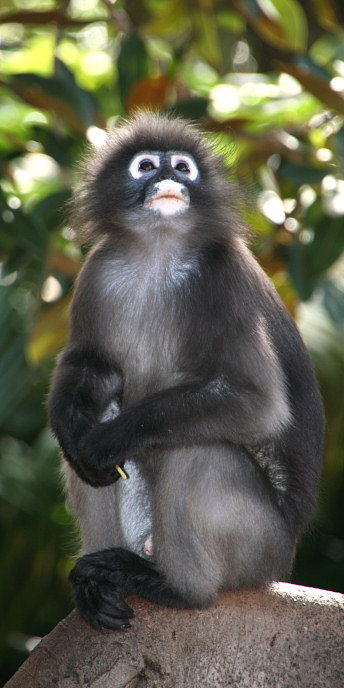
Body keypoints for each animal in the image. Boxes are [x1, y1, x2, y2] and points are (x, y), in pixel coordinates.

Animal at [47, 110, 324, 632]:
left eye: (182, 166)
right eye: (145, 165)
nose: (168, 179)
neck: (159, 250)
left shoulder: (224, 275)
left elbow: (257, 403)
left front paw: (107, 440)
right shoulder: (98, 269)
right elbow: (90, 366)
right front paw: (69, 428)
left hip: (258, 549)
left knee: (196, 450)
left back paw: (175, 588)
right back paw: (99, 584)